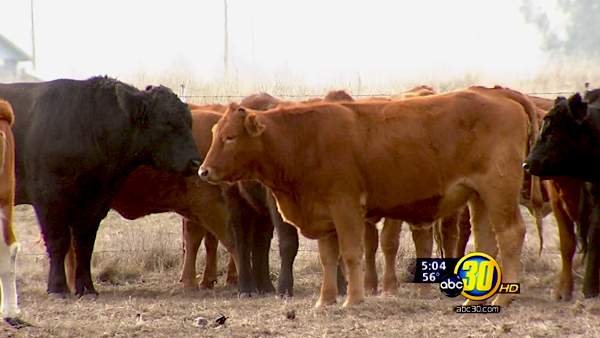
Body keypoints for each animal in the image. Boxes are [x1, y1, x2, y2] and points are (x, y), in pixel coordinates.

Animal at [1, 76, 200, 296]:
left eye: (189, 122)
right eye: (167, 123)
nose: (195, 162)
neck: (89, 122)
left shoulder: (95, 202)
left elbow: (84, 244)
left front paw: (87, 287)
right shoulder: (49, 199)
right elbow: (58, 241)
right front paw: (58, 287)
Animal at [200, 86, 540, 308]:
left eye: (230, 137)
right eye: (215, 133)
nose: (203, 171)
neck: (306, 137)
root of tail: (498, 93)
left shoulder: (346, 207)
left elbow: (351, 254)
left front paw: (352, 300)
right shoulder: (324, 215)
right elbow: (328, 258)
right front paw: (325, 301)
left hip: (498, 190)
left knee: (510, 234)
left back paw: (503, 298)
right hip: (479, 197)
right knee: (487, 241)